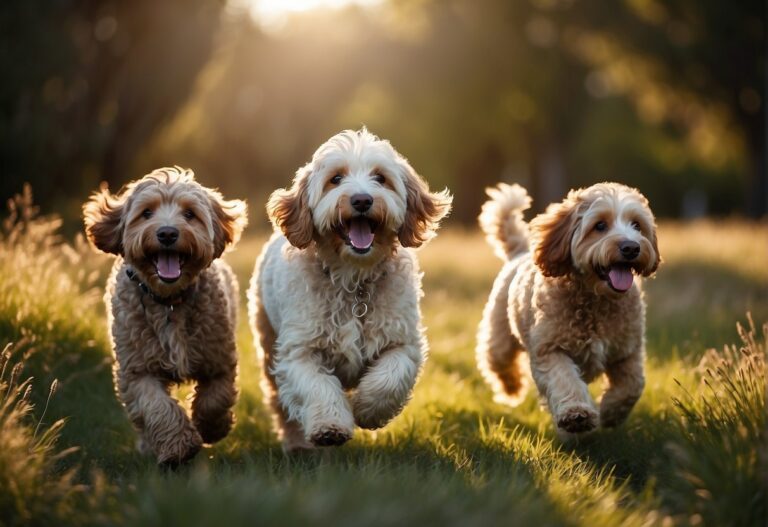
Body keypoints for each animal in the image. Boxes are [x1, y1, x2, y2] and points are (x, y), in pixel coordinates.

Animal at [248, 127, 450, 450]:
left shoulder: (403, 341)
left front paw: (368, 410)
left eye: (380, 178)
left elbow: (390, 377)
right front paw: (330, 426)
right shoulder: (301, 351)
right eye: (336, 179)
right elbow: (318, 386)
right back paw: (298, 445)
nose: (362, 200)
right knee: (280, 405)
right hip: (267, 344)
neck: (355, 281)